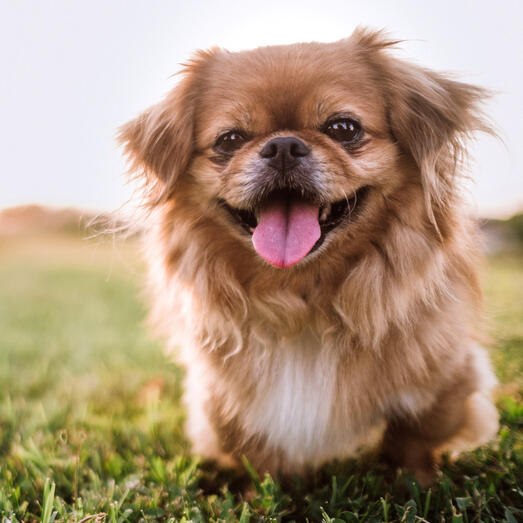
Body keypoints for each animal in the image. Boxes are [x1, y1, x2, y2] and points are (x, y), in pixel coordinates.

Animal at [119, 27, 500, 488]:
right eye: (230, 139)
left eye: (343, 128)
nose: (283, 145)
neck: (303, 298)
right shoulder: (225, 399)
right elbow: (254, 452)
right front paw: (257, 493)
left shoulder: (445, 377)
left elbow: (413, 440)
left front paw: (416, 485)